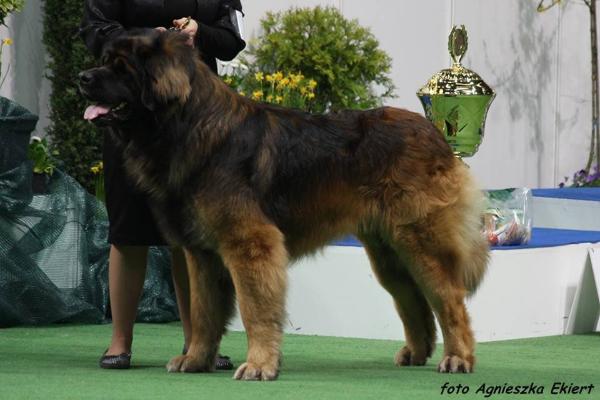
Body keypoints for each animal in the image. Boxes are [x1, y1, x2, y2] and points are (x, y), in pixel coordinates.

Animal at [79, 29, 490, 380]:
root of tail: (435, 134)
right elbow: (203, 312)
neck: (189, 125)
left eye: (122, 68)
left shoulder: (250, 243)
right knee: (413, 300)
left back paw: (458, 358)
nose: (82, 77)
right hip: (387, 252)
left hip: (419, 240)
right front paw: (196, 359)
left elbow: (255, 309)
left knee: (449, 300)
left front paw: (259, 365)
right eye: (103, 60)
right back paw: (417, 353)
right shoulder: (203, 254)